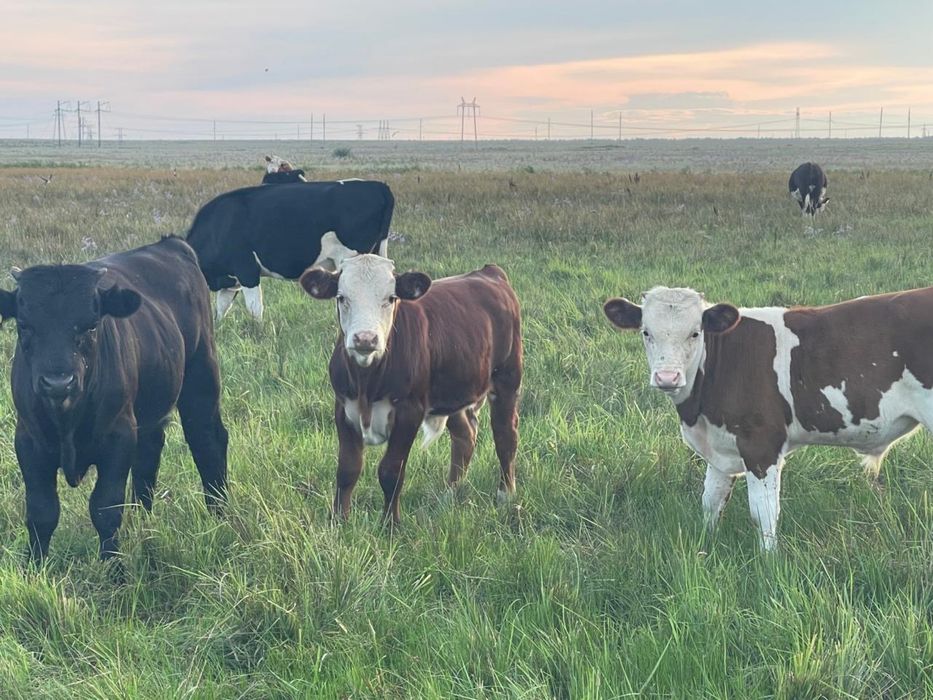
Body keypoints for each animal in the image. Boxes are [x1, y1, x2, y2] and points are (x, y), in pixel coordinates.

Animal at [0, 237, 229, 567]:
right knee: (149, 452)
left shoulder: (117, 437)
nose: (58, 382)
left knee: (208, 442)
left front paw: (114, 568)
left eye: (91, 325)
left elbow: (104, 509)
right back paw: (143, 519)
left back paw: (219, 515)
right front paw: (35, 566)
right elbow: (42, 511)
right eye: (25, 326)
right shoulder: (28, 440)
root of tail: (171, 244)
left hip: (202, 379)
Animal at [299, 254, 522, 523]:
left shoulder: (409, 411)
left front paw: (390, 525)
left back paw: (505, 495)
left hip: (507, 378)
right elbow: (347, 468)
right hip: (452, 392)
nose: (365, 338)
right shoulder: (343, 407)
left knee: (505, 435)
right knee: (464, 436)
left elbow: (391, 471)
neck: (367, 383)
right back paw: (448, 495)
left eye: (391, 298)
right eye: (342, 297)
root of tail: (489, 272)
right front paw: (338, 522)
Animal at [603, 285, 933, 551]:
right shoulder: (720, 448)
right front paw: (705, 546)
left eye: (695, 333)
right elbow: (711, 501)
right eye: (646, 332)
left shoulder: (761, 445)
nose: (667, 377)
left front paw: (768, 561)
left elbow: (763, 511)